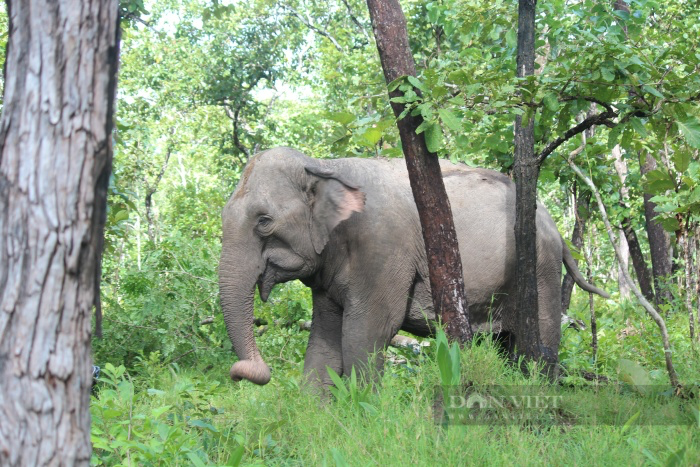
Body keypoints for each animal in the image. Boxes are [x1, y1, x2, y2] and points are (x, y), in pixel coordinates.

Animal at [219, 147, 608, 388]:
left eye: (264, 222)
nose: (242, 372)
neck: (324, 164)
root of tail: (554, 226)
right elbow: (324, 334)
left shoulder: (383, 249)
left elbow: (367, 330)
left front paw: (363, 414)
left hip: (541, 269)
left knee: (540, 340)